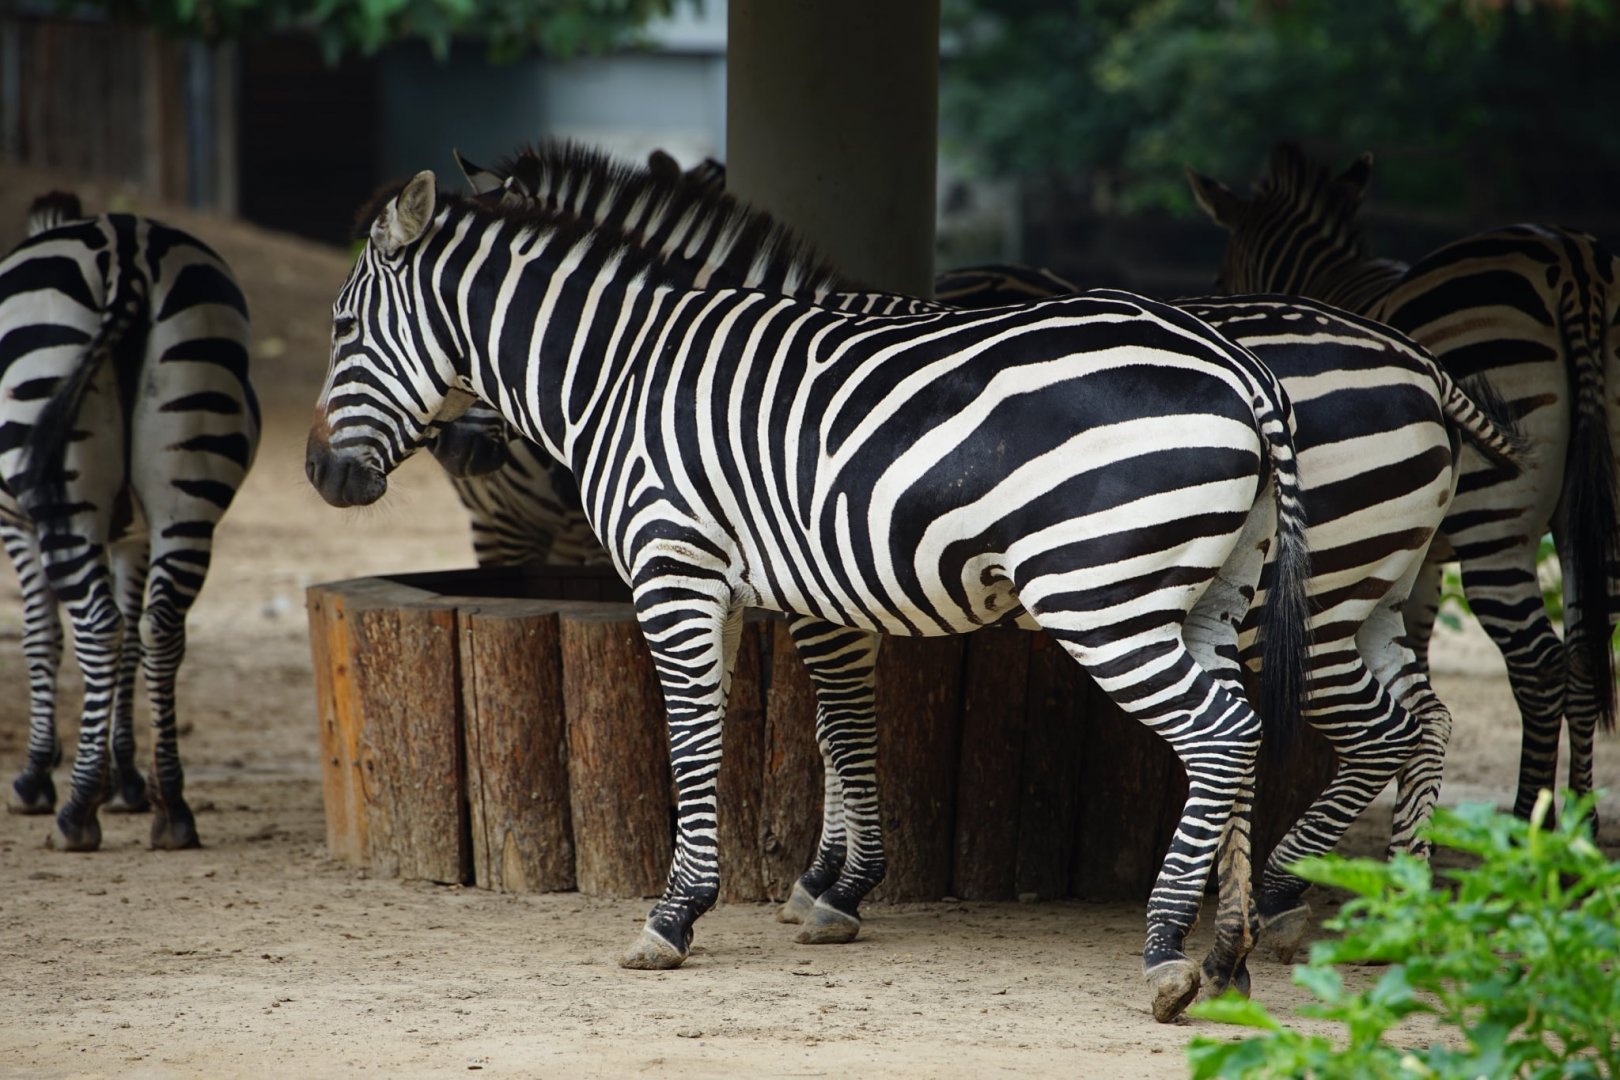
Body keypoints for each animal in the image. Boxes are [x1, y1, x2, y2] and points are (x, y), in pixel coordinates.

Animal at [0, 192, 259, 852]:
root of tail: (125, 247)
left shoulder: (16, 524)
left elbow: (42, 636)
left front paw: (36, 777)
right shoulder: (134, 536)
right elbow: (132, 642)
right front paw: (127, 779)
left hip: (55, 472)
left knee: (97, 627)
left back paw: (75, 813)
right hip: (189, 477)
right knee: (159, 630)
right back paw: (171, 806)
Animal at [305, 169, 1315, 1023]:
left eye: (344, 330)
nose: (321, 474)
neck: (619, 373)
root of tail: (1239, 366)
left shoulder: (676, 567)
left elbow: (701, 737)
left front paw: (678, 916)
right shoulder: (769, 584)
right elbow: (803, 729)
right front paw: (816, 891)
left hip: (1099, 591)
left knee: (1220, 732)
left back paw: (1167, 955)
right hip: (1208, 595)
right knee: (1243, 726)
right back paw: (1227, 957)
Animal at [428, 144, 1523, 955]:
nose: (465, 445)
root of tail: (1416, 360)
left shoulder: (826, 582)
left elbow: (838, 728)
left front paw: (832, 885)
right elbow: (834, 728)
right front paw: (826, 879)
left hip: (1314, 595)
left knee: (1378, 727)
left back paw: (1304, 893)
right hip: (1378, 587)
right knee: (1421, 719)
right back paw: (1384, 898)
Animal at [1187, 140, 1620, 823]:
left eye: (1221, 277)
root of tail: (1572, 260)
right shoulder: (1414, 556)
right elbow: (1414, 649)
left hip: (1493, 517)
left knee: (1541, 663)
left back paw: (1526, 815)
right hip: (1596, 511)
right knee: (1583, 648)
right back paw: (1575, 818)